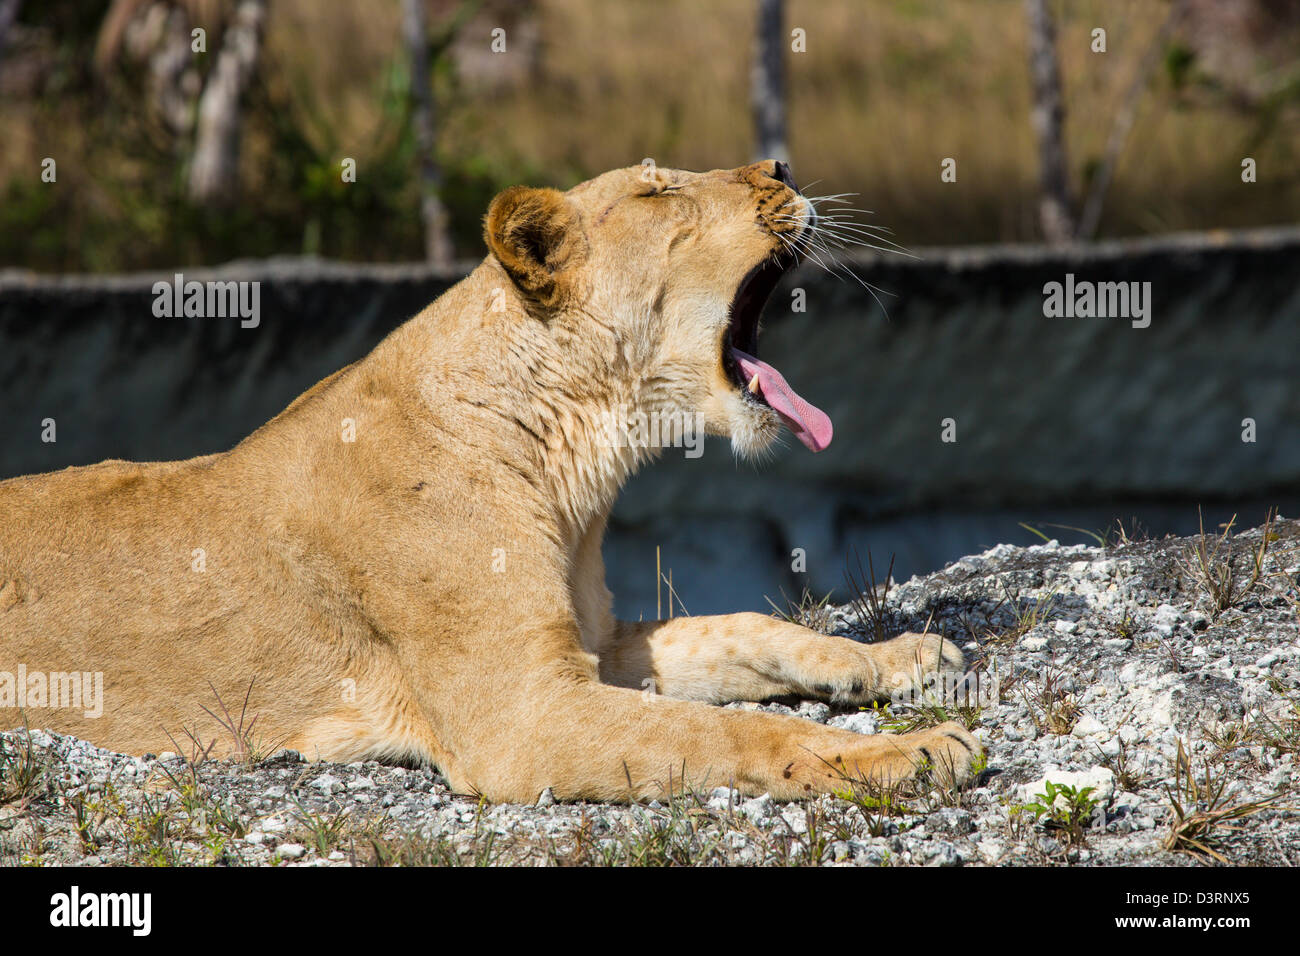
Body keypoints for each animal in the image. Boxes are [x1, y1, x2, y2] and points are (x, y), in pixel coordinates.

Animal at [0, 161, 981, 802]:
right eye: (660, 190)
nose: (782, 162)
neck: (574, 459)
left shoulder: (591, 644)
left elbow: (741, 630)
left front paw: (897, 655)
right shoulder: (523, 715)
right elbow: (728, 728)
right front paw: (910, 754)